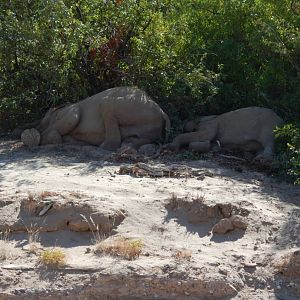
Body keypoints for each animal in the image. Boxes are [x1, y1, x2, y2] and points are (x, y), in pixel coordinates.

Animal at [21, 87, 171, 152]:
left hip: (129, 105)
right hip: (150, 123)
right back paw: (127, 147)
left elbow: (73, 116)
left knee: (107, 106)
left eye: (42, 119)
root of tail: (163, 112)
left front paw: (34, 137)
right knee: (143, 138)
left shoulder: (68, 110)